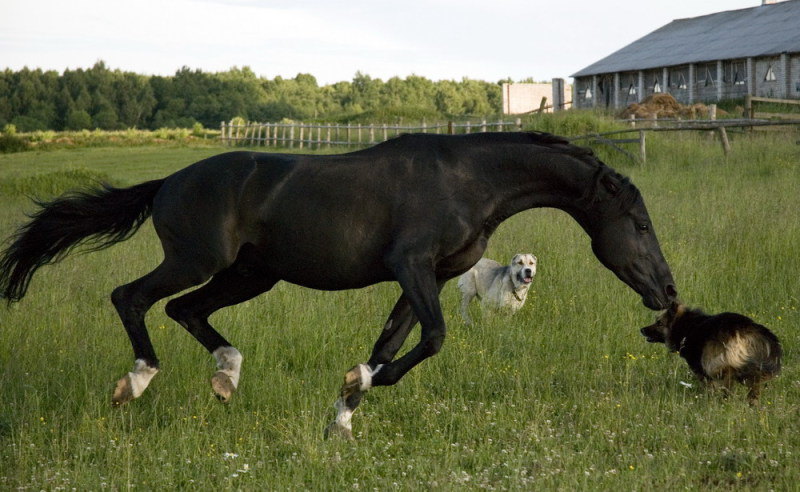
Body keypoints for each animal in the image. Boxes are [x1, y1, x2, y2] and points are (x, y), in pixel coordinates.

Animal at [0, 131, 676, 438]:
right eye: (640, 225)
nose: (668, 294)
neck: (467, 181)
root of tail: (167, 182)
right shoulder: (412, 265)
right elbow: (432, 339)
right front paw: (352, 395)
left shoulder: (427, 277)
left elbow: (391, 344)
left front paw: (344, 412)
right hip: (197, 260)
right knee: (133, 298)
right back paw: (135, 382)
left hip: (252, 274)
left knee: (187, 312)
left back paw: (226, 377)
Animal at [644, 302, 780, 406]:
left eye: (659, 322)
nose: (642, 330)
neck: (684, 325)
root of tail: (747, 327)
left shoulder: (700, 367)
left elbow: (708, 384)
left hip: (718, 362)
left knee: (728, 379)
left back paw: (725, 400)